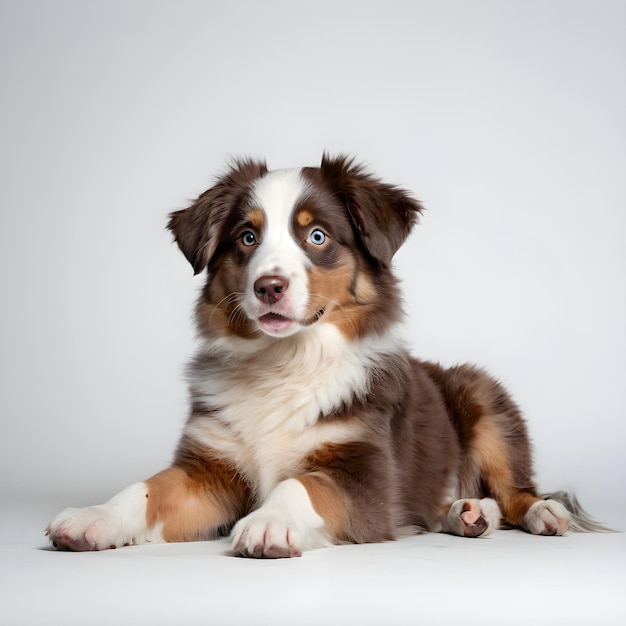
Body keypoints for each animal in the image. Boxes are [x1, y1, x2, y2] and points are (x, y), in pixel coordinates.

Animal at [46, 154, 596, 552]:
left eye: (316, 236)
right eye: (247, 237)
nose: (268, 287)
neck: (285, 362)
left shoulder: (363, 471)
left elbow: (300, 485)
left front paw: (269, 523)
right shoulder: (210, 467)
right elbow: (148, 487)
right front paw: (96, 516)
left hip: (483, 395)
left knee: (516, 489)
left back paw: (541, 513)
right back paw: (464, 513)